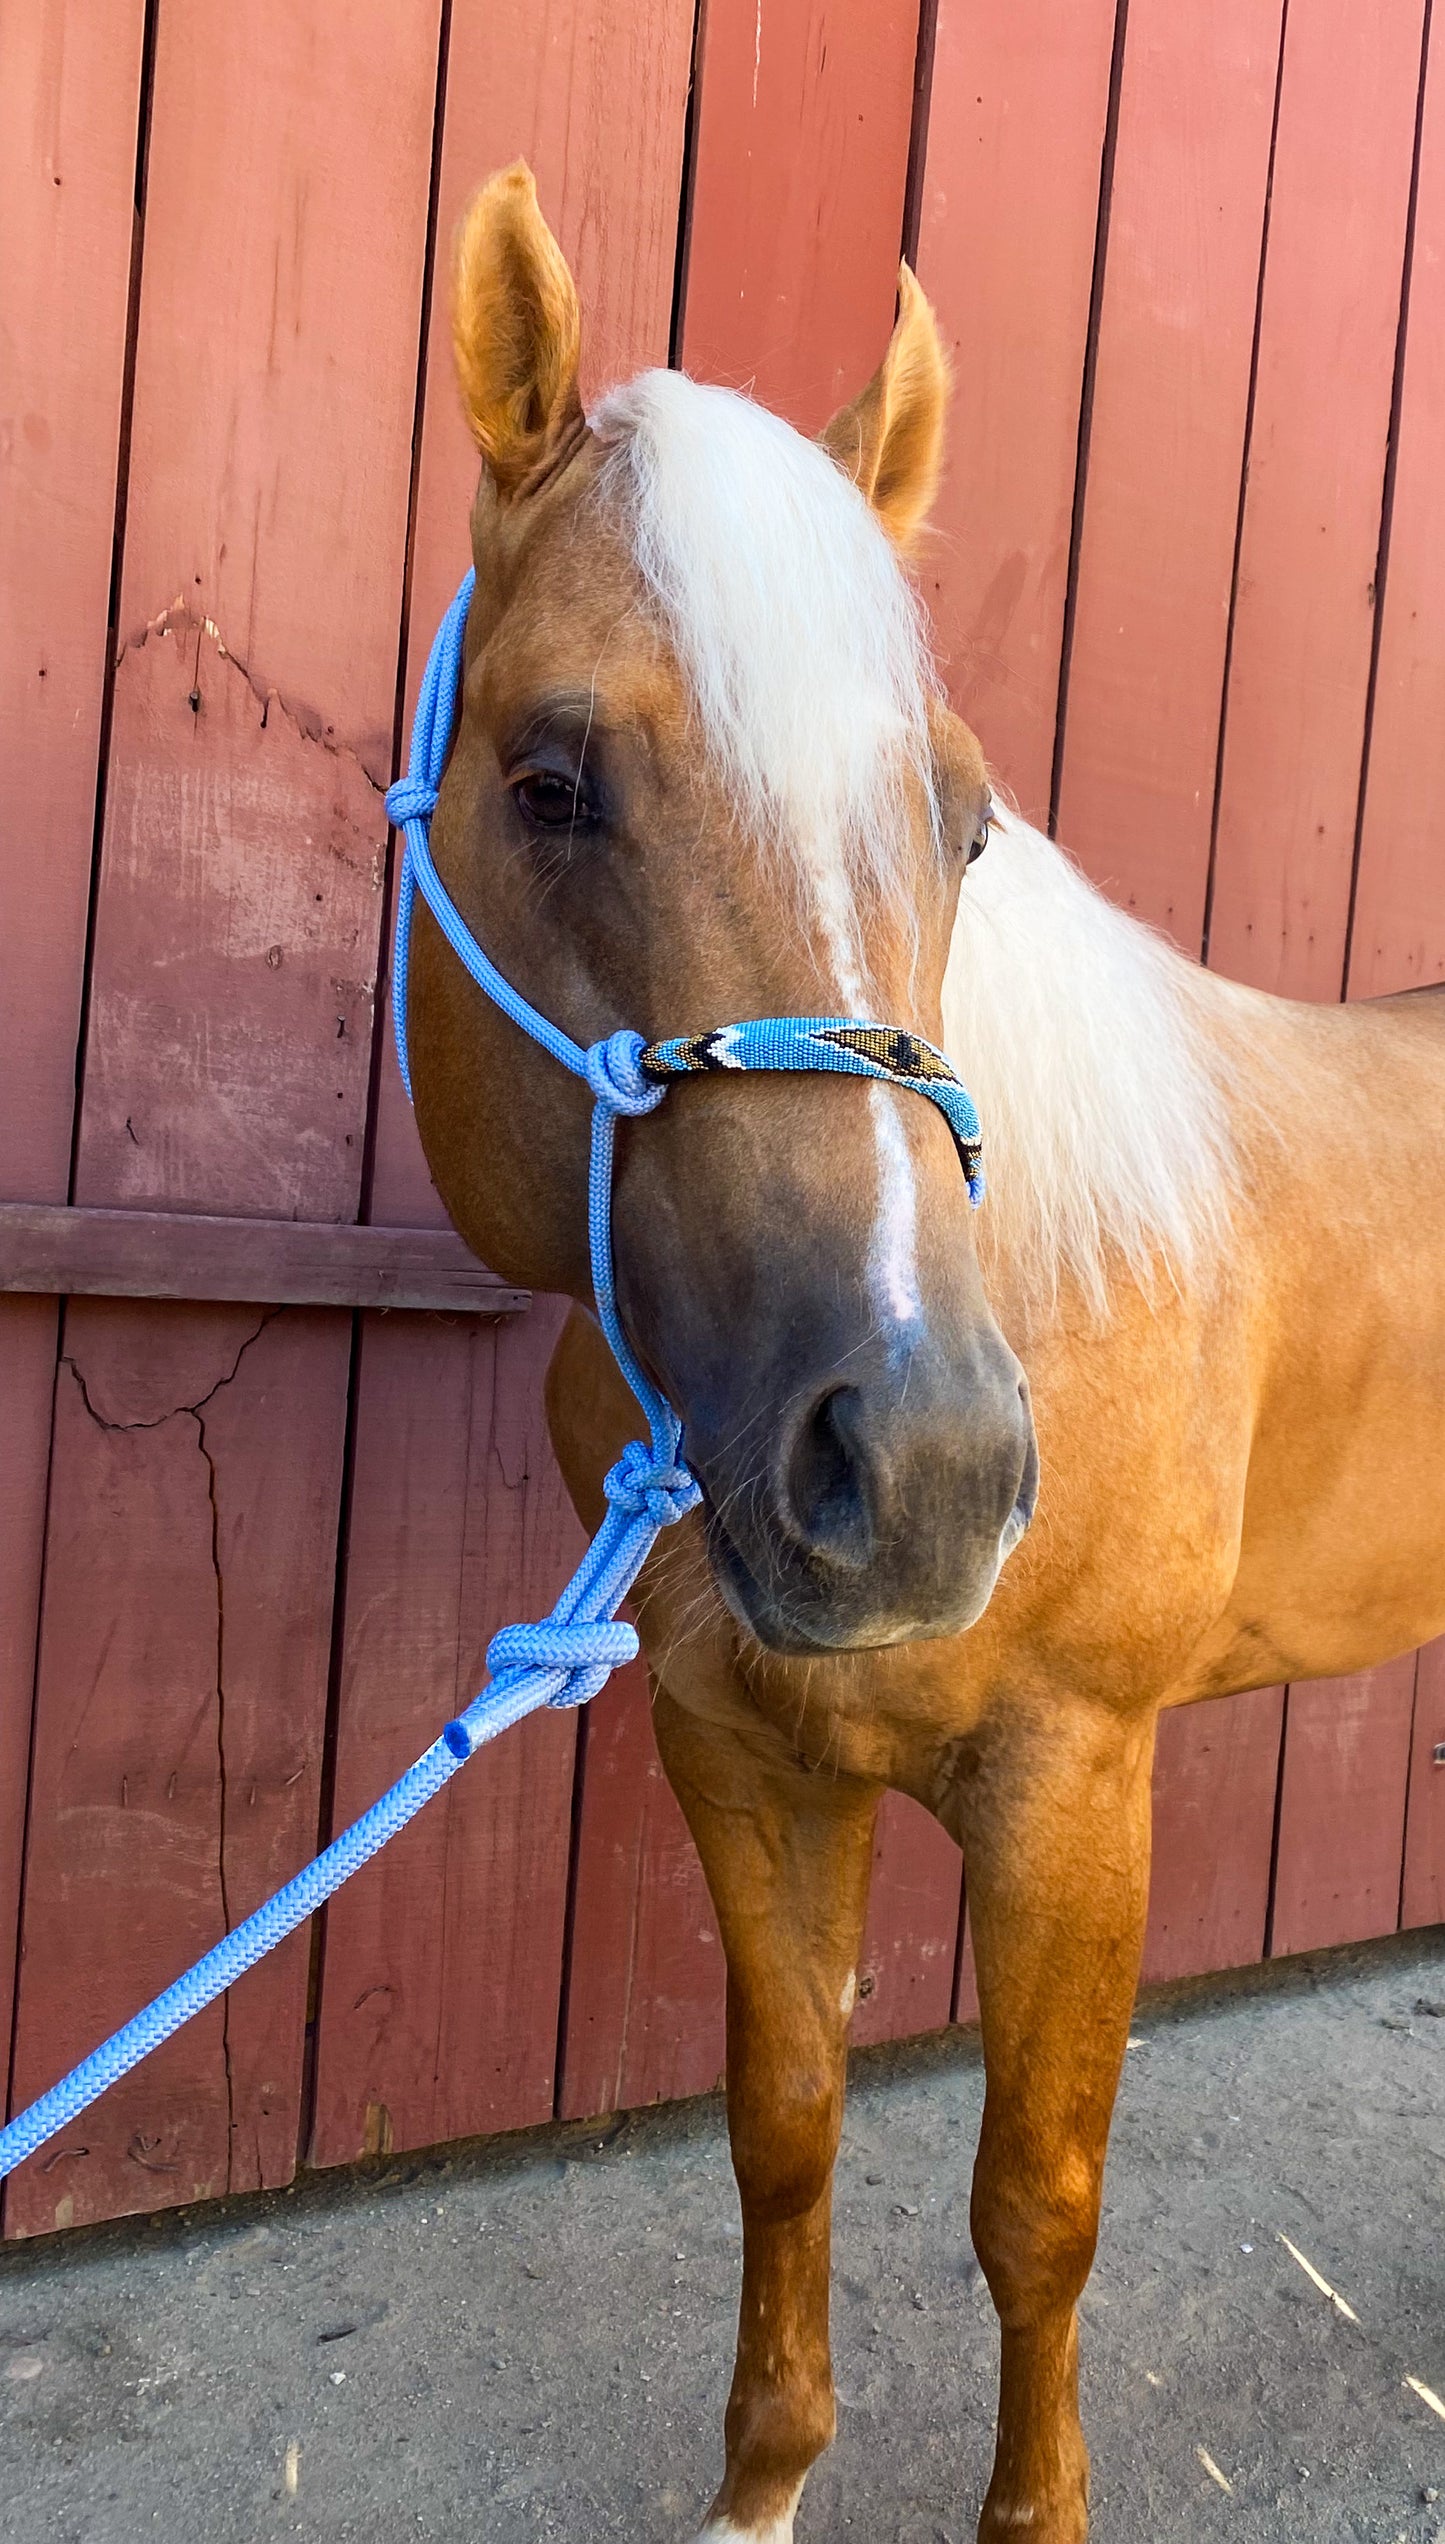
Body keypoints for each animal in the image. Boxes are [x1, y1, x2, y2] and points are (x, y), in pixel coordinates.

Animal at [396, 164, 1445, 2544]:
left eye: (963, 817)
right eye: (550, 775)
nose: (933, 1477)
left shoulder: (1076, 1783)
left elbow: (1031, 2208)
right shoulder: (743, 1752)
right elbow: (783, 2127)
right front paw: (764, 2483)